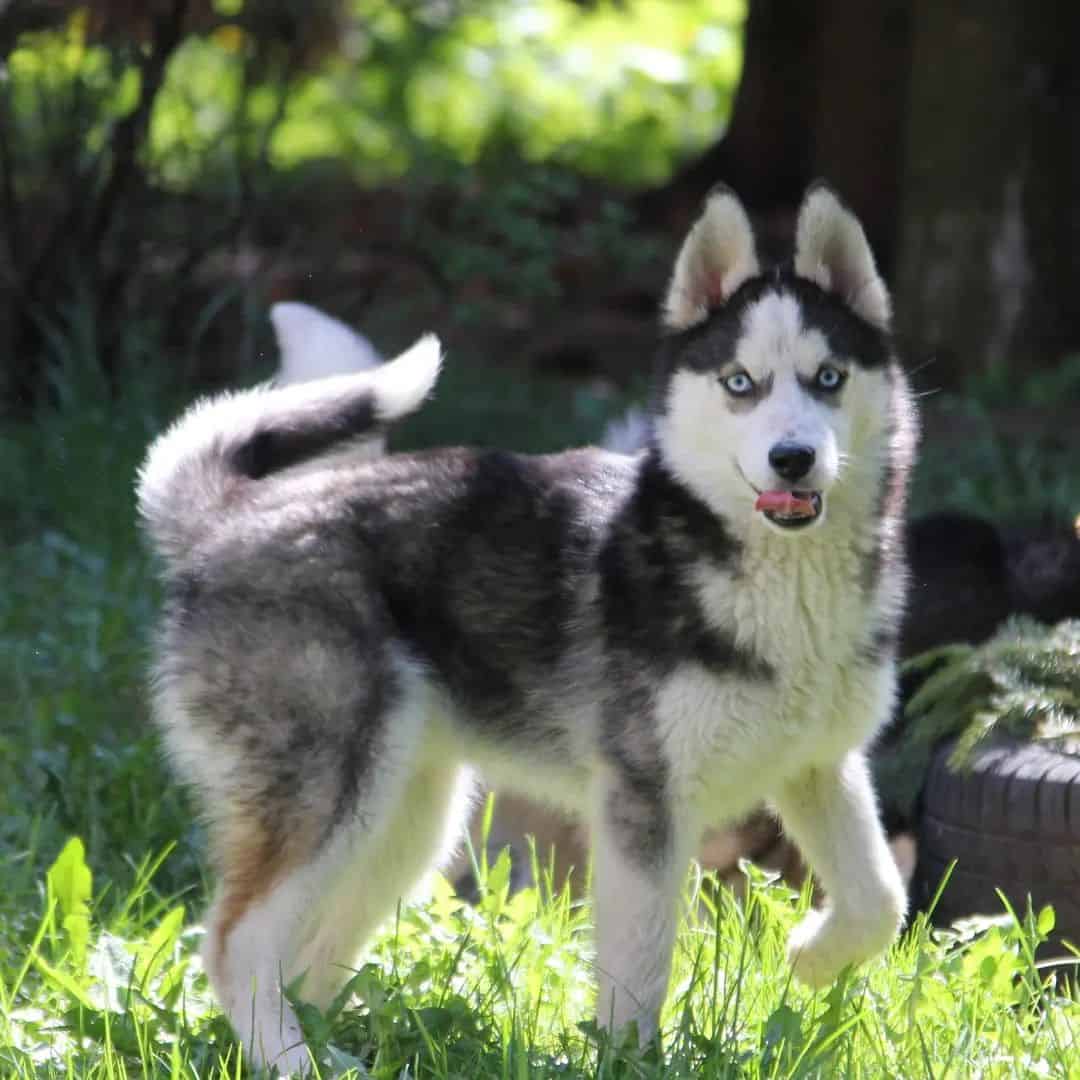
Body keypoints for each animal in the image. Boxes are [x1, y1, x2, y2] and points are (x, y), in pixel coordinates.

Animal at [139, 183, 920, 1071]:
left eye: (828, 378)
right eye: (739, 382)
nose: (793, 458)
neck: (777, 585)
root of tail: (229, 518)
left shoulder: (820, 765)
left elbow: (879, 899)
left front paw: (813, 956)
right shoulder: (642, 807)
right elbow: (638, 973)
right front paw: (630, 1062)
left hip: (404, 824)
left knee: (301, 956)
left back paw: (333, 1054)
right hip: (331, 797)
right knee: (235, 945)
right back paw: (293, 1065)